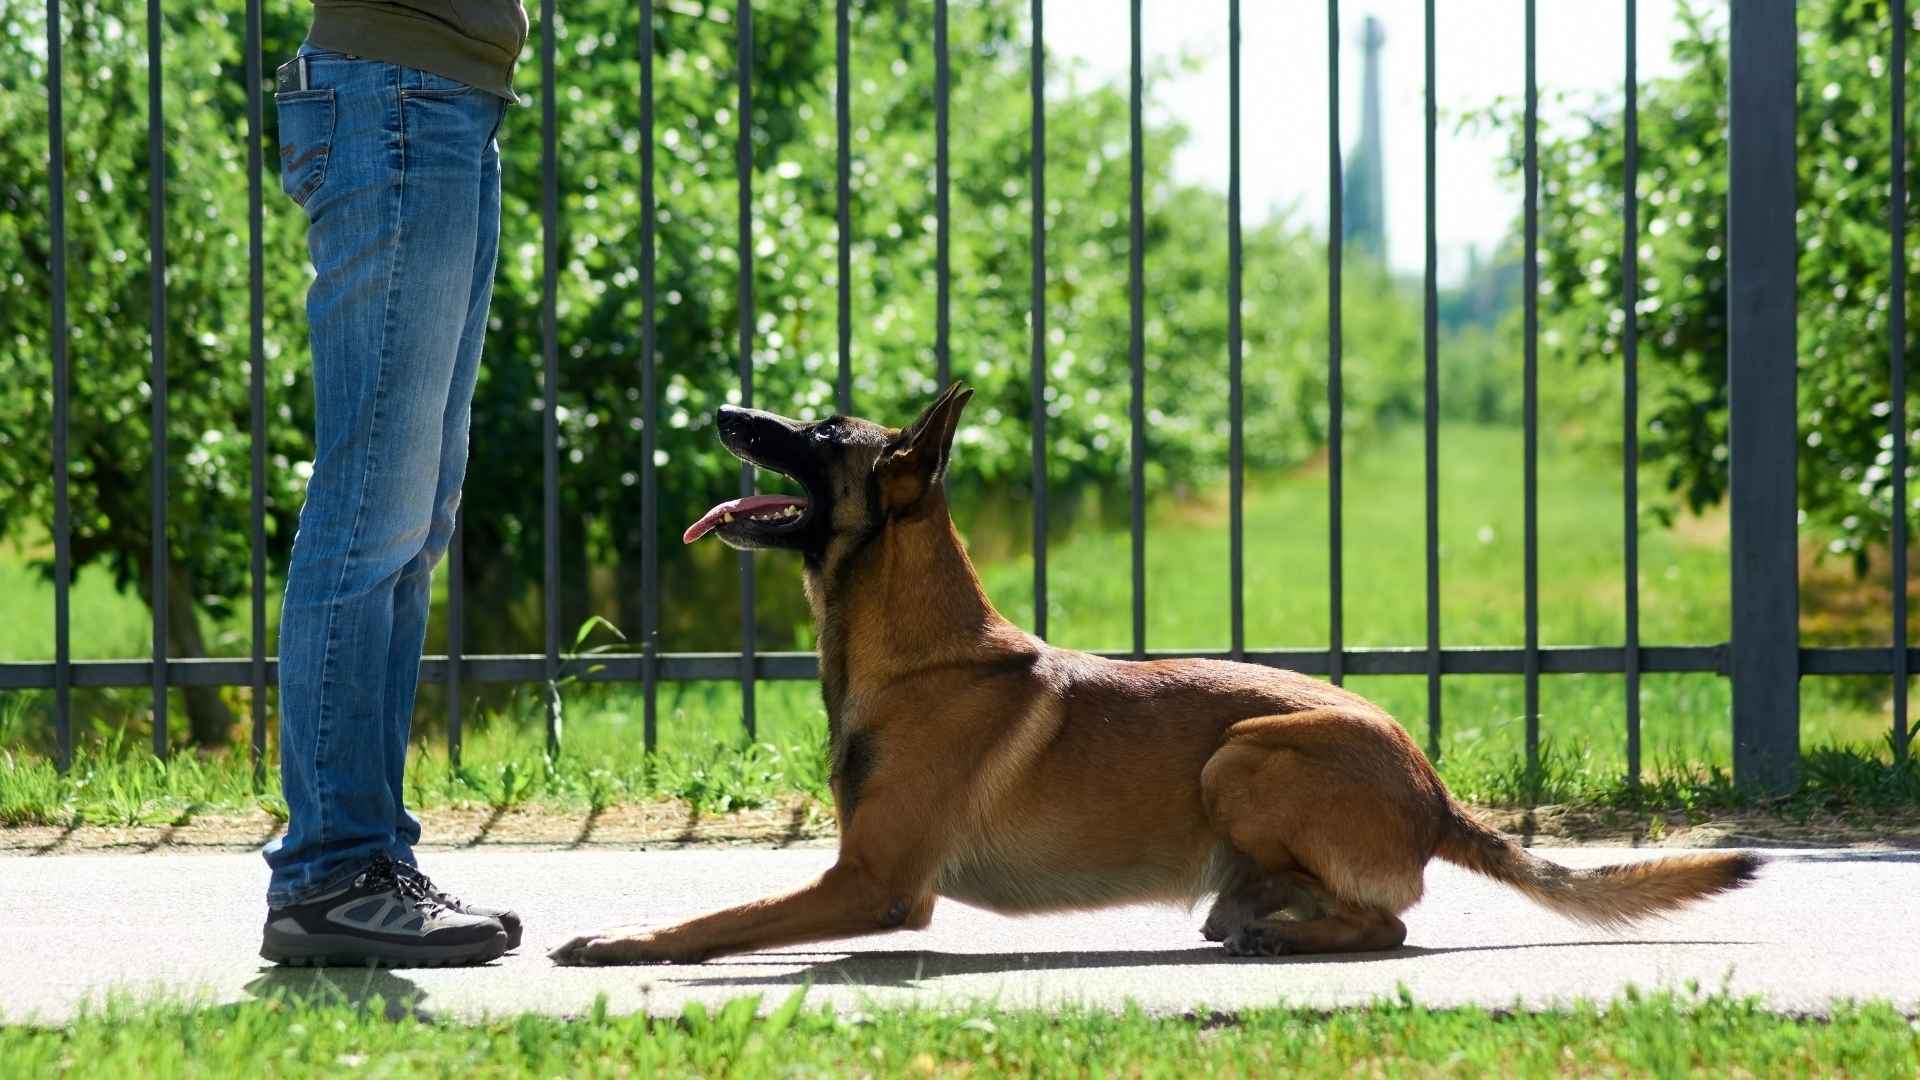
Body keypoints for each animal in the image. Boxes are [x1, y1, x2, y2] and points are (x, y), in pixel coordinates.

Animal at [549, 382, 1758, 960]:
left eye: (816, 431)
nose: (721, 411)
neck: (920, 653)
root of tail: (1432, 789)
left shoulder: (876, 884)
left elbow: (724, 918)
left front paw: (626, 940)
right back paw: (1262, 915)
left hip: (1246, 755)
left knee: (1393, 923)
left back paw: (1284, 932)